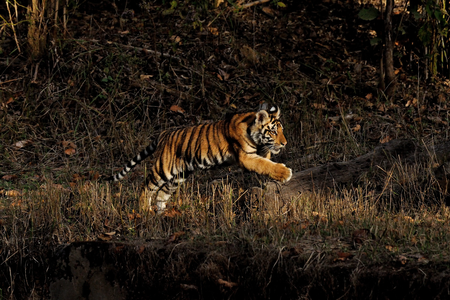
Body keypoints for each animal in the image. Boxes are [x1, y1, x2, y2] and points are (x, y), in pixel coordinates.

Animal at [108, 104, 292, 212]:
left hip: (179, 176)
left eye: (281, 130)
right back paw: (144, 211)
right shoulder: (246, 157)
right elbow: (264, 164)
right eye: (273, 131)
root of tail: (164, 133)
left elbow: (267, 160)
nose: (284, 143)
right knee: (146, 187)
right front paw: (285, 173)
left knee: (161, 193)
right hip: (163, 169)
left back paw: (161, 215)